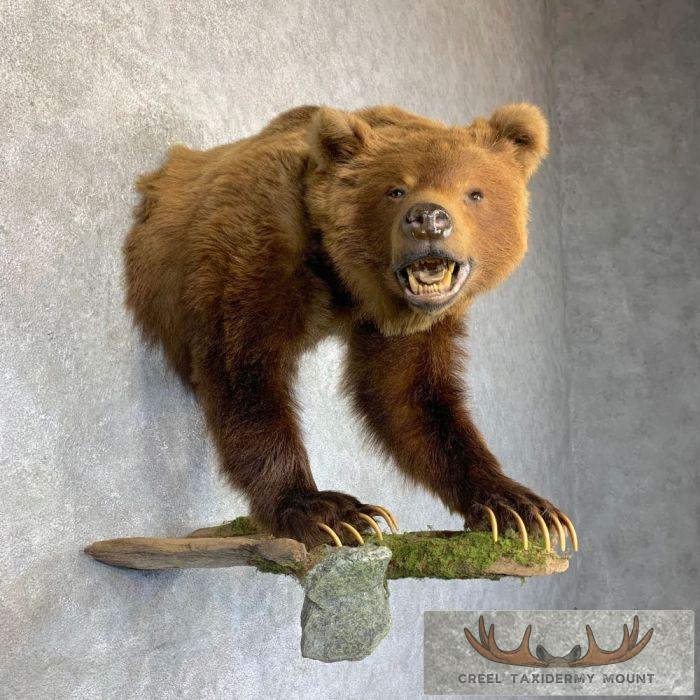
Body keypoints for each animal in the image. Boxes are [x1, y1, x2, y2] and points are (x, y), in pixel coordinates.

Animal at [123, 103, 576, 550]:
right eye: (395, 189)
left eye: (474, 192)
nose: (429, 220)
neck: (344, 279)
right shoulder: (259, 242)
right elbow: (245, 371)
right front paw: (329, 511)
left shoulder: (413, 325)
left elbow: (410, 397)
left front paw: (520, 507)